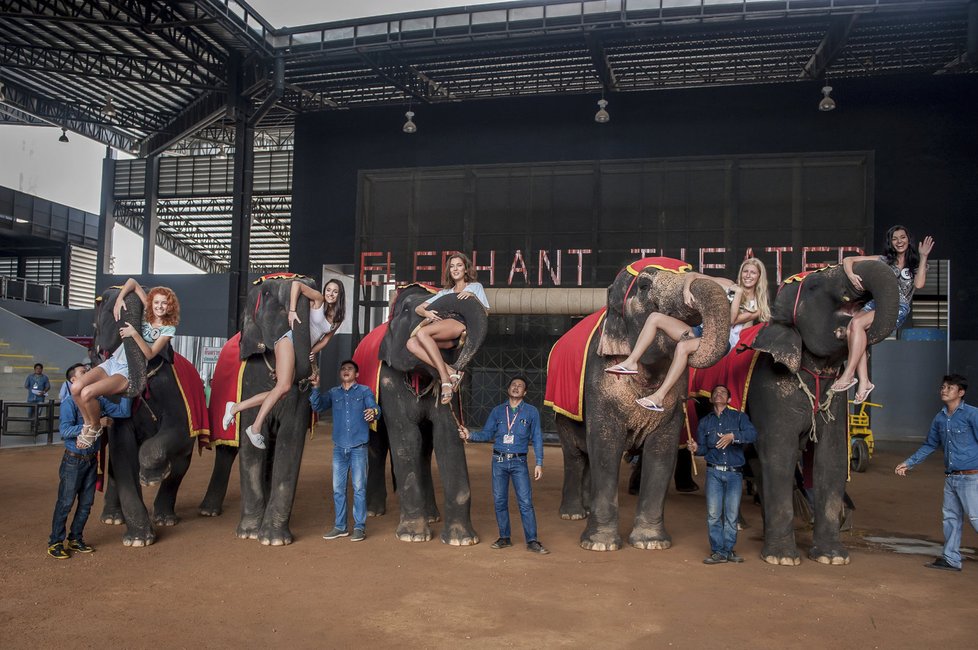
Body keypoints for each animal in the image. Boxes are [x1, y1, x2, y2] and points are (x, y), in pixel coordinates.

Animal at [93, 286, 200, 544]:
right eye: (105, 305)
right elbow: (122, 451)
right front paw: (138, 539)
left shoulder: (174, 394)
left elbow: (179, 431)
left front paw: (152, 477)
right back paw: (112, 518)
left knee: (181, 464)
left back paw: (165, 518)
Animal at [198, 274, 316, 540]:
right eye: (268, 295)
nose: (309, 381)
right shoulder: (250, 379)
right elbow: (250, 446)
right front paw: (249, 534)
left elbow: (290, 439)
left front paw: (274, 539)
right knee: (226, 451)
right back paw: (208, 512)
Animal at [356, 284, 488, 540]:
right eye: (407, 309)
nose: (458, 372)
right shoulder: (388, 381)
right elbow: (407, 440)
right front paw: (413, 536)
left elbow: (447, 438)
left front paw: (462, 539)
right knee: (378, 444)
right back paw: (373, 512)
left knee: (425, 451)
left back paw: (432, 516)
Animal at [548, 256, 732, 548]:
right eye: (644, 286)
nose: (688, 335)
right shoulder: (599, 379)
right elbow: (605, 446)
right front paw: (600, 545)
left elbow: (662, 452)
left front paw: (651, 543)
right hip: (562, 412)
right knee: (575, 454)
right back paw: (573, 514)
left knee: (586, 455)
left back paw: (586, 509)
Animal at [748, 258, 900, 560]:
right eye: (815, 285)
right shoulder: (769, 390)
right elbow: (780, 455)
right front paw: (782, 558)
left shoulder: (836, 403)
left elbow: (833, 458)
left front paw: (832, 557)